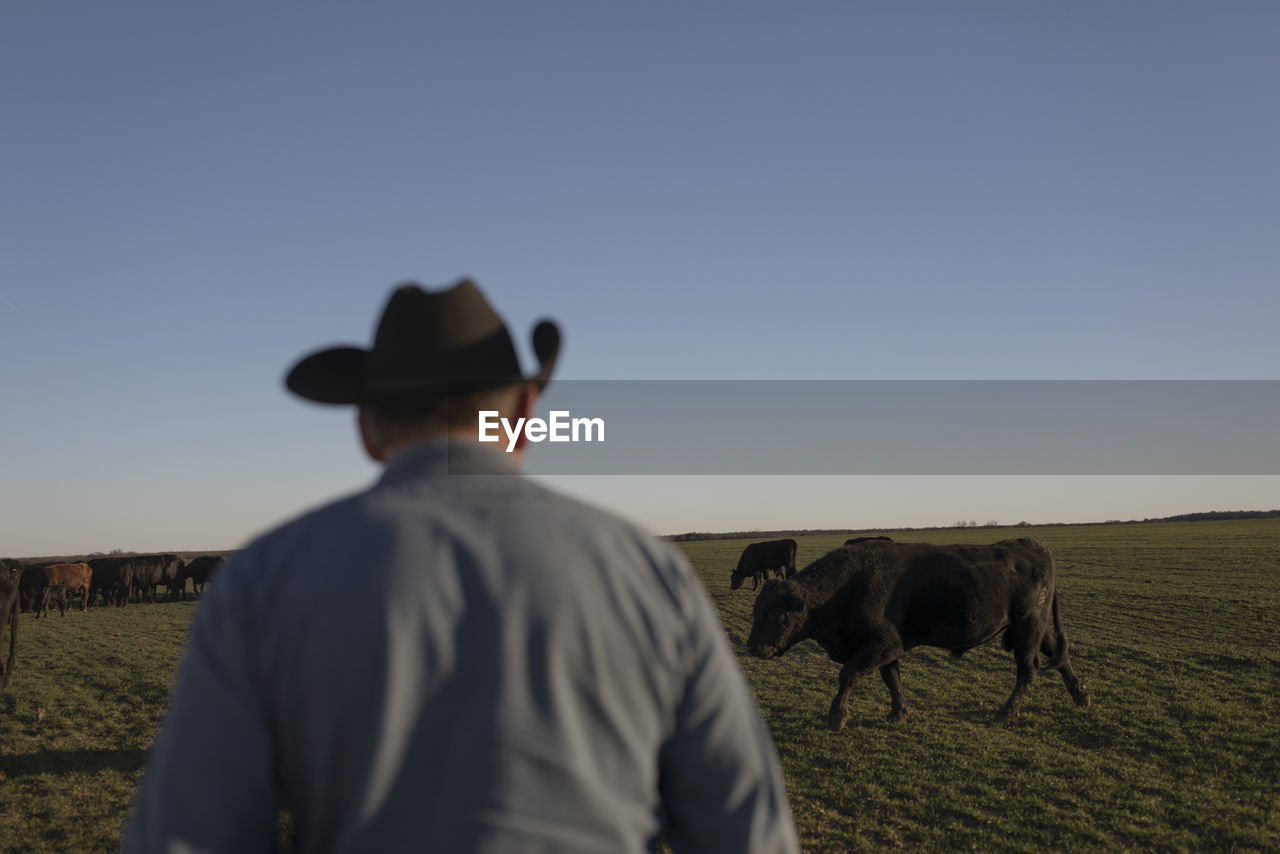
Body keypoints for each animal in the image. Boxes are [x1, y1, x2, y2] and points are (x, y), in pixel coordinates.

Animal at [742, 537, 1090, 727]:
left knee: (1027, 670)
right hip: (1032, 627)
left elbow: (849, 674)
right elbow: (892, 679)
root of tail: (1032, 545)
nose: (753, 648)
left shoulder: (883, 642)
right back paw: (1081, 695)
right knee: (1059, 654)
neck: (846, 584)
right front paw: (899, 713)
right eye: (756, 612)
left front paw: (837, 716)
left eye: (774, 614)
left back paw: (1007, 713)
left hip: (1028, 627)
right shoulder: (885, 648)